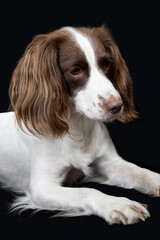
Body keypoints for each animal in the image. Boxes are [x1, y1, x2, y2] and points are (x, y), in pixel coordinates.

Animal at [0, 25, 159, 224]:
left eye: (107, 63)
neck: (77, 126)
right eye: (75, 71)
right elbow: (87, 191)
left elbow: (142, 172)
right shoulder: (42, 187)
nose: (117, 106)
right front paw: (119, 204)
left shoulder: (109, 163)